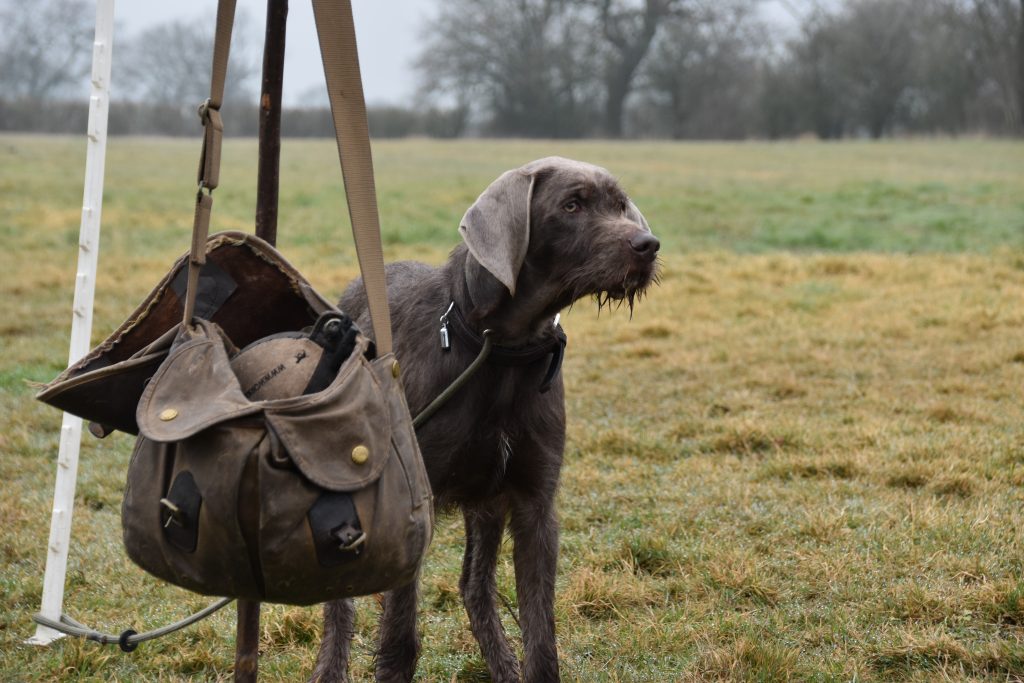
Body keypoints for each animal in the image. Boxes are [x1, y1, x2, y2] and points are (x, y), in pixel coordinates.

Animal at [311, 156, 659, 683]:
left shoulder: (534, 506)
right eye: (572, 205)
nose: (648, 245)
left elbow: (541, 634)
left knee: (474, 588)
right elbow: (399, 632)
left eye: (620, 205)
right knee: (342, 601)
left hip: (488, 504)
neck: (503, 351)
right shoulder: (414, 505)